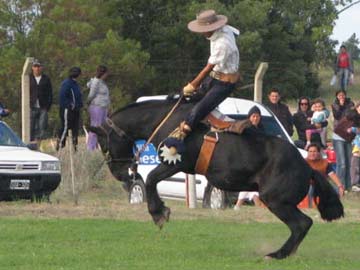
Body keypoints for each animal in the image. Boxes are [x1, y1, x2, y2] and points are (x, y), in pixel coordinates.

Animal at [88, 96, 344, 258]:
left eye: (103, 144)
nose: (119, 173)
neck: (165, 120)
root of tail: (307, 167)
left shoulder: (177, 162)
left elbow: (151, 179)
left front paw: (159, 213)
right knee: (302, 225)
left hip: (276, 200)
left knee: (302, 224)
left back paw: (278, 254)